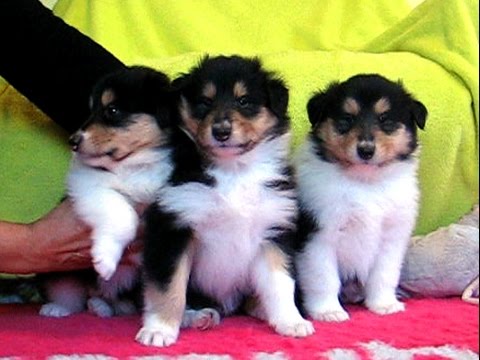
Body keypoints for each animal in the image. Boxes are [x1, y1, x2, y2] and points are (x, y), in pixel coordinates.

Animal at [39, 65, 173, 318]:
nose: (73, 141)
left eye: (112, 110)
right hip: (60, 275)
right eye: (90, 110)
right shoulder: (87, 184)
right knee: (71, 295)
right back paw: (59, 308)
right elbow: (123, 214)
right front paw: (105, 259)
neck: (136, 164)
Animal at [136, 55, 316, 346]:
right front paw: (159, 330)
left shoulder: (273, 232)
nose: (221, 131)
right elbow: (169, 287)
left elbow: (281, 282)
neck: (234, 170)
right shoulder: (173, 228)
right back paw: (199, 316)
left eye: (244, 101)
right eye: (204, 102)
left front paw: (292, 321)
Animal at [292, 74, 428, 322]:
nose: (365, 150)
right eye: (346, 119)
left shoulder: (391, 237)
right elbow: (323, 277)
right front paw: (328, 311)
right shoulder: (318, 235)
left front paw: (384, 305)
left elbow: (384, 275)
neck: (365, 182)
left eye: (386, 120)